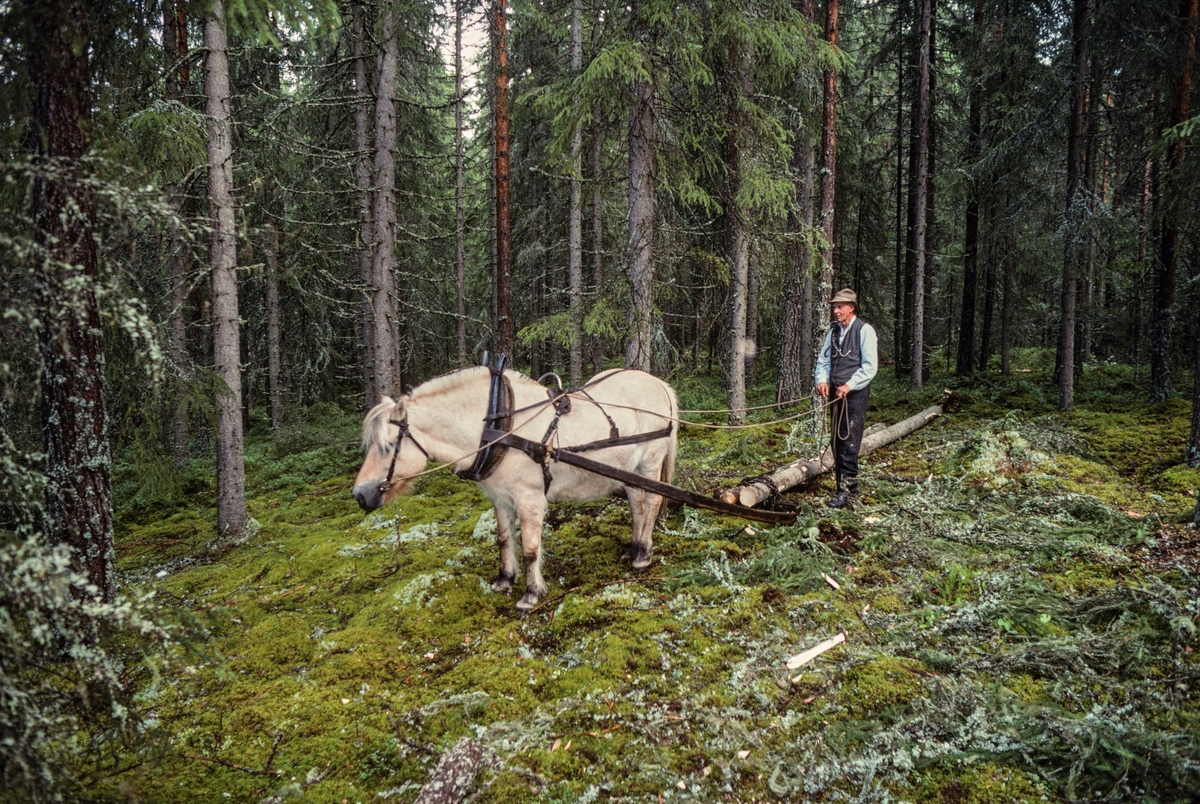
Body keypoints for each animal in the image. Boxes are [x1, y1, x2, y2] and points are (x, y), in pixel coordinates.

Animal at [350, 369, 681, 612]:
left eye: (387, 445)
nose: (360, 495)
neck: (500, 428)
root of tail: (660, 384)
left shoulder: (528, 498)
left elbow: (530, 548)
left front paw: (531, 594)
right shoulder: (499, 498)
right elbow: (504, 539)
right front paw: (505, 579)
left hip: (650, 461)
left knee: (653, 501)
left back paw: (643, 555)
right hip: (629, 469)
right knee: (637, 503)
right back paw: (634, 548)